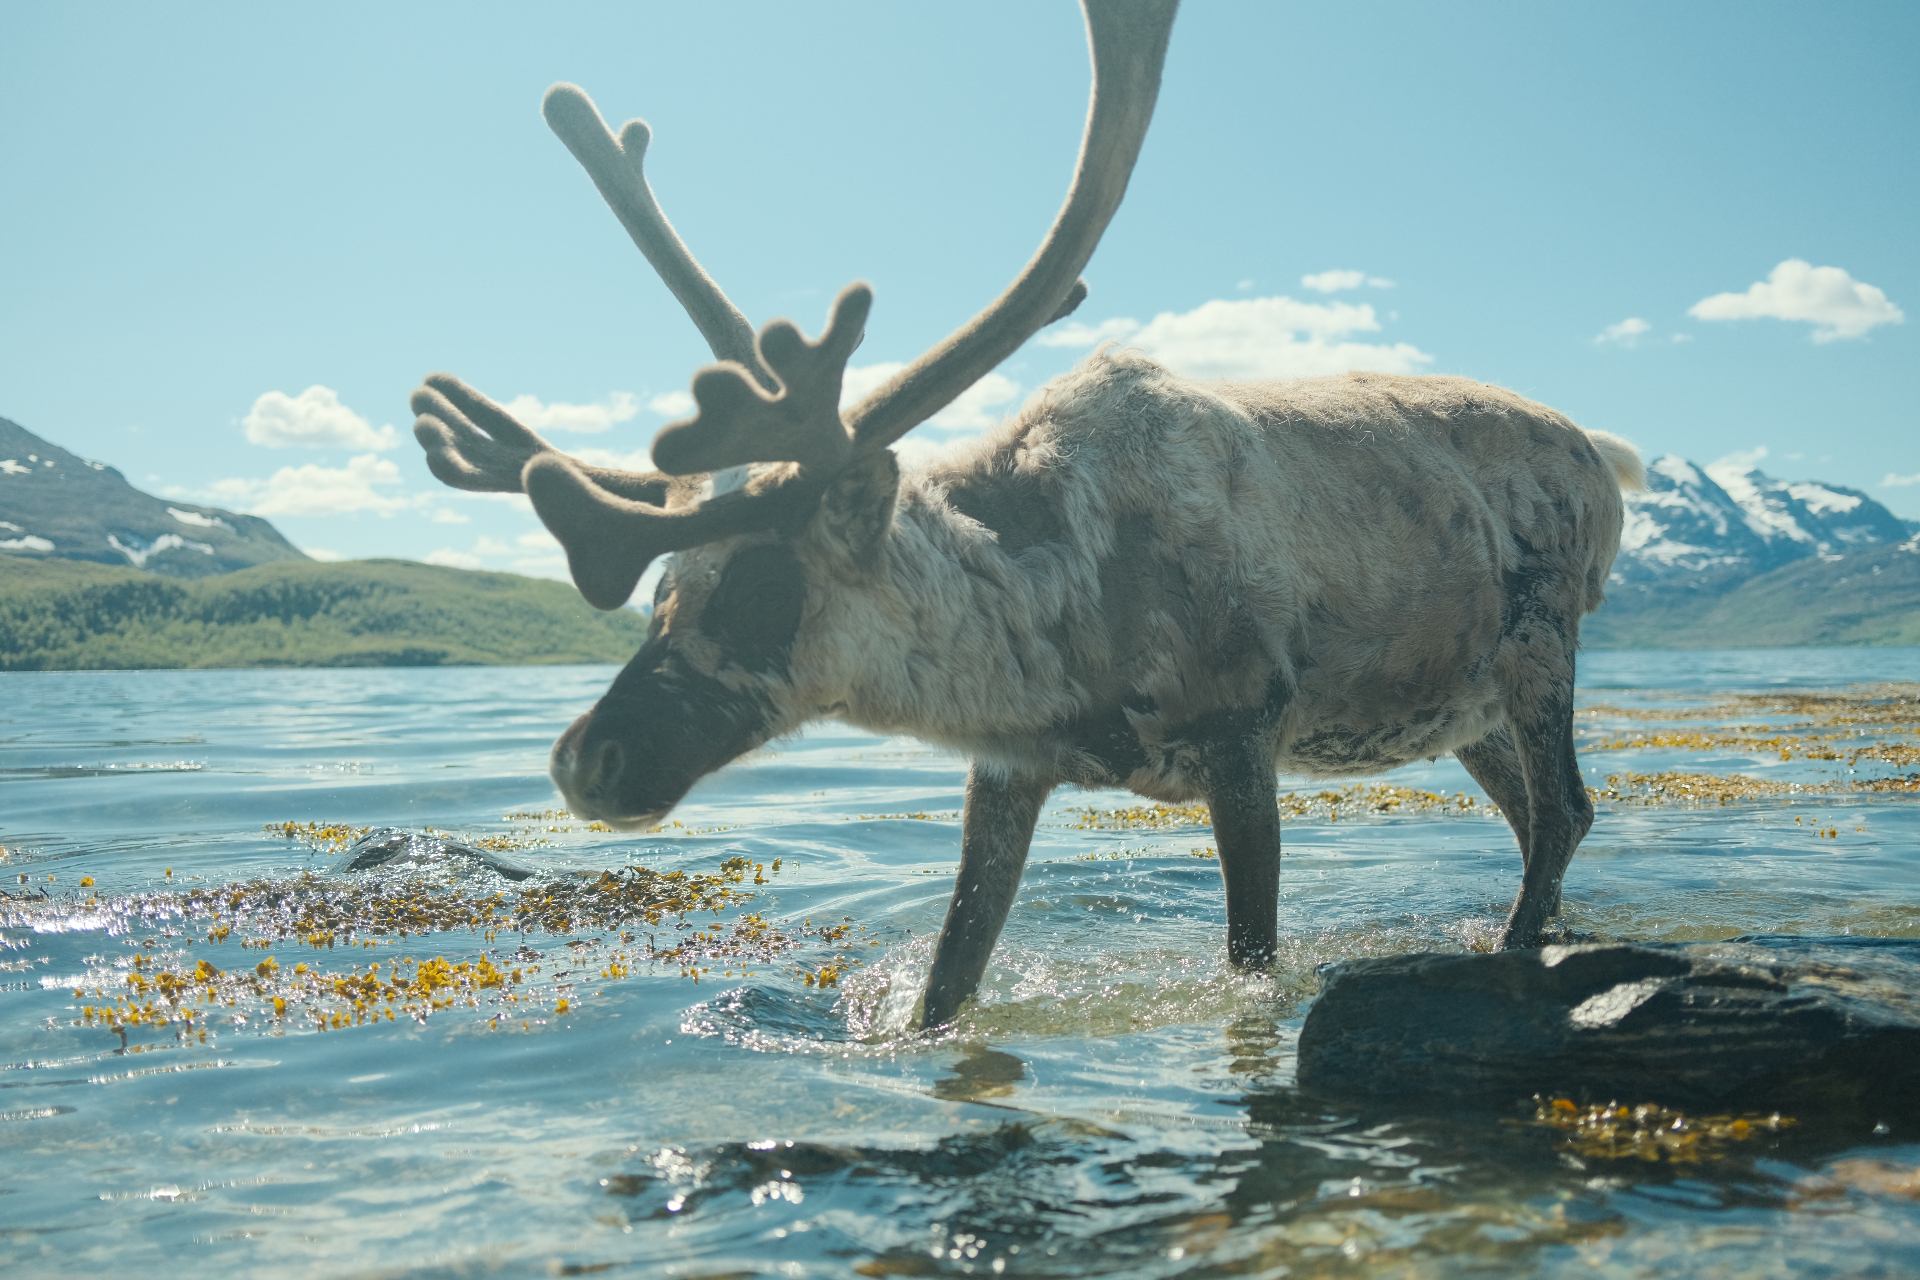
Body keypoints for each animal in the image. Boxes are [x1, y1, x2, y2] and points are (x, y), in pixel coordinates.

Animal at [408, 0, 1645, 1031]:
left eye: (763, 581)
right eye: (660, 591)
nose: (585, 758)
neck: (1066, 633)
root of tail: (1604, 452)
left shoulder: (1245, 727)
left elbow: (1250, 958)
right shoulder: (1007, 770)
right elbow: (947, 985)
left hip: (1541, 644)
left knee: (1568, 812)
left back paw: (1517, 944)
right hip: (1462, 702)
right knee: (1533, 819)